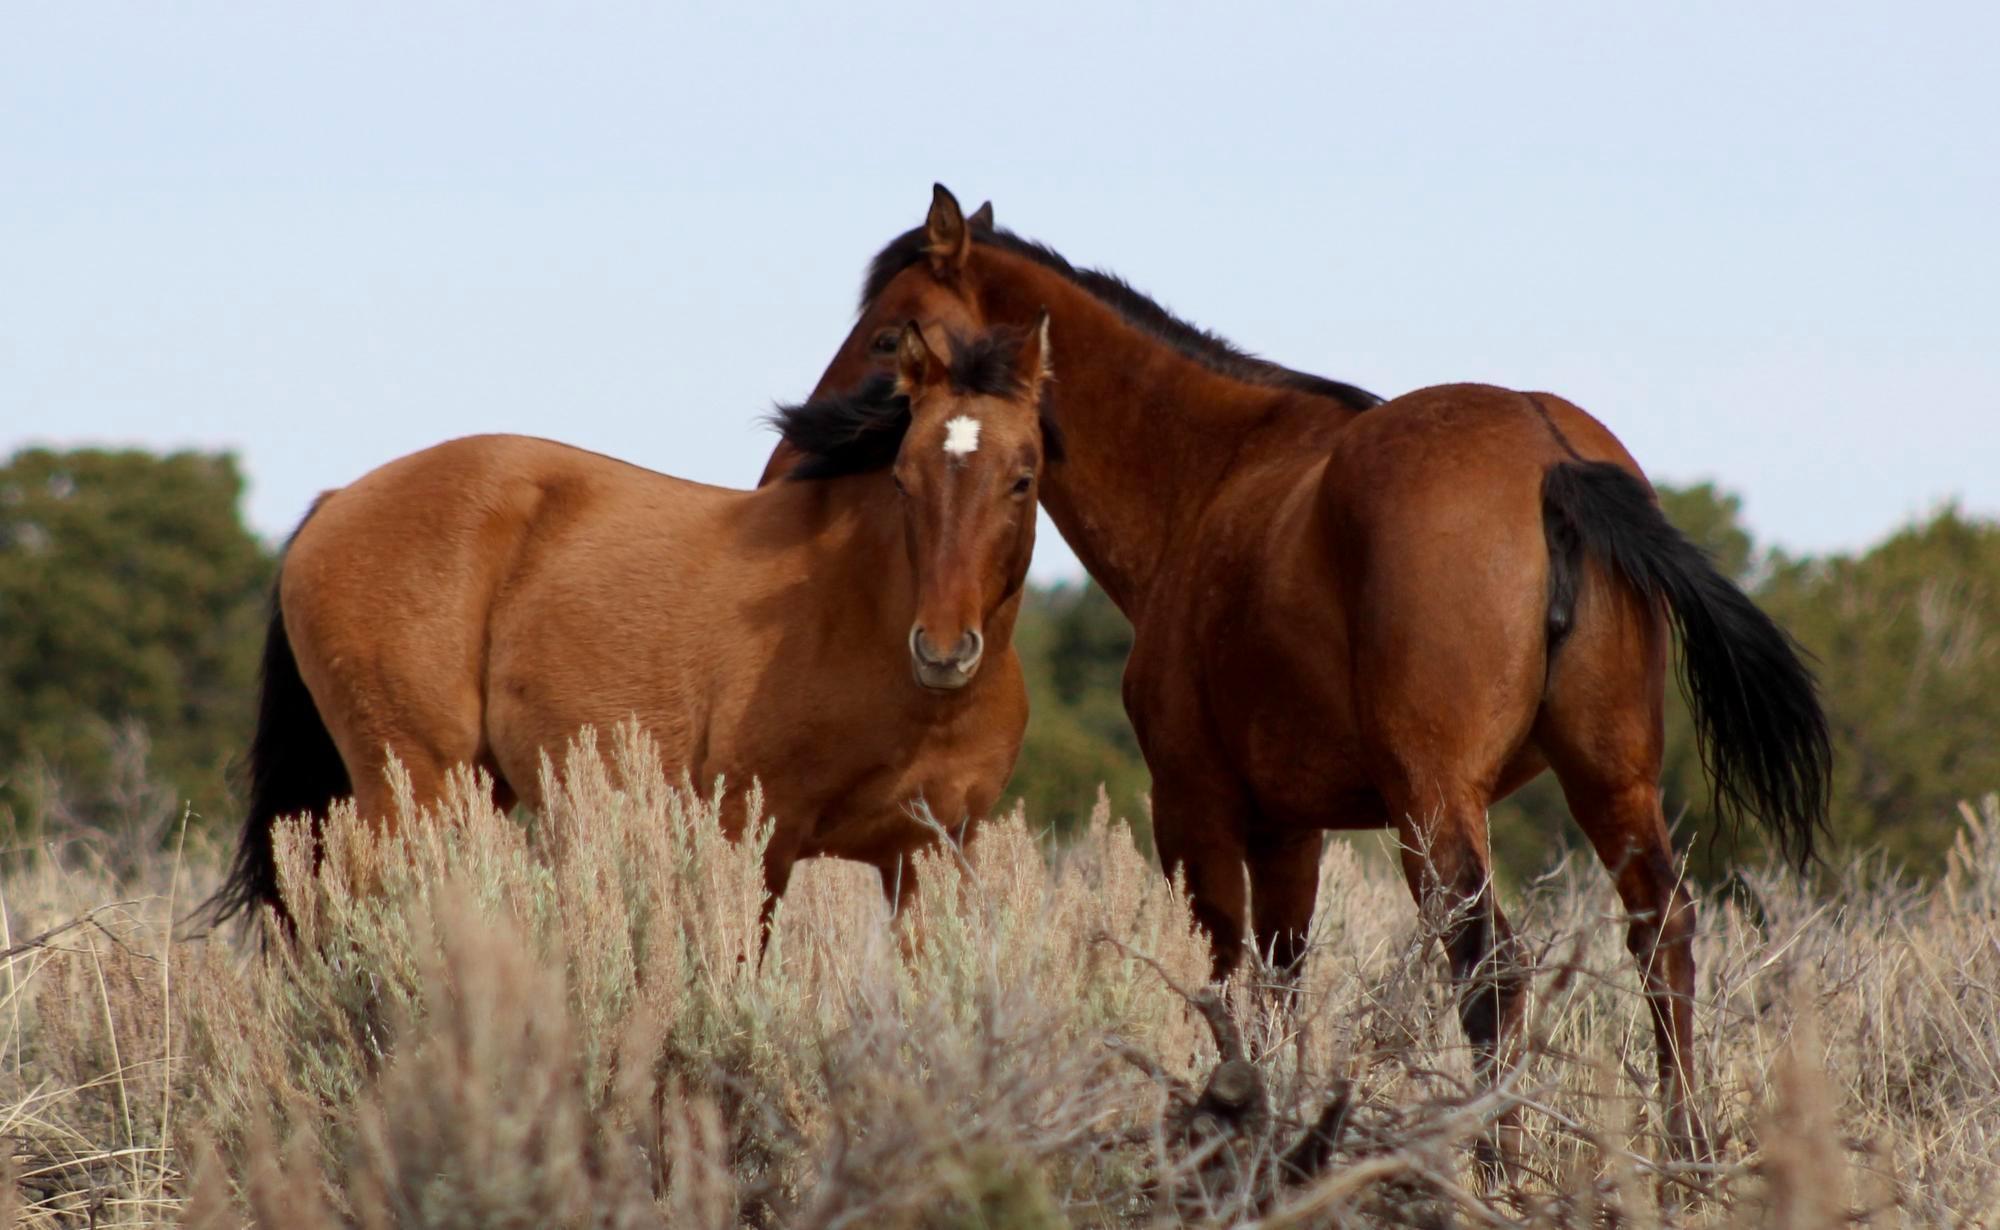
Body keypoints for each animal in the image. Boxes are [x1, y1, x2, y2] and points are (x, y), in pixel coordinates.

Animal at [201, 318, 1061, 934]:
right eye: (903, 478)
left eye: (1023, 479)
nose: (943, 651)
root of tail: (336, 502)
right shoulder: (753, 834)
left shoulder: (930, 858)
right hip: (413, 787)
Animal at [766, 186, 1832, 1163]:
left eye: (887, 334)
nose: (784, 466)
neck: (1212, 472)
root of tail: (1550, 458)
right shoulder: (1291, 831)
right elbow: (1281, 986)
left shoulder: (1195, 813)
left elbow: (1222, 983)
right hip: (1611, 781)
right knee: (1662, 933)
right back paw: (1686, 1156)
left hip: (1436, 808)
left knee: (1491, 966)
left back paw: (1494, 1160)